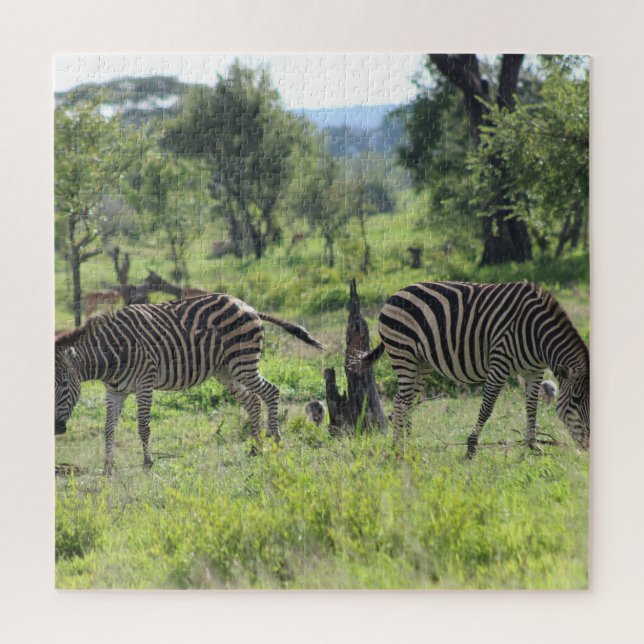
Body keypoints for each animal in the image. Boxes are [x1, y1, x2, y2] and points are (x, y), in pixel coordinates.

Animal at [55, 293, 323, 473]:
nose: (57, 429)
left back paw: (275, 442)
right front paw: (107, 469)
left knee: (271, 392)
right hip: (226, 370)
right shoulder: (114, 391)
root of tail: (249, 306)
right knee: (253, 401)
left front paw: (147, 464)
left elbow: (143, 426)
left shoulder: (145, 383)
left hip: (242, 362)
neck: (112, 355)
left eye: (64, 386)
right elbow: (109, 428)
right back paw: (255, 449)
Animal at [352, 281, 589, 457]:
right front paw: (471, 447)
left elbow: (532, 406)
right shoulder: (500, 361)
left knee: (405, 400)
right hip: (404, 354)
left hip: (422, 362)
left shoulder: (535, 370)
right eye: (576, 401)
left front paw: (533, 445)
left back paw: (408, 446)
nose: (588, 446)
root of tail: (395, 294)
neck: (536, 335)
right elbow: (487, 407)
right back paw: (398, 449)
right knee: (402, 402)